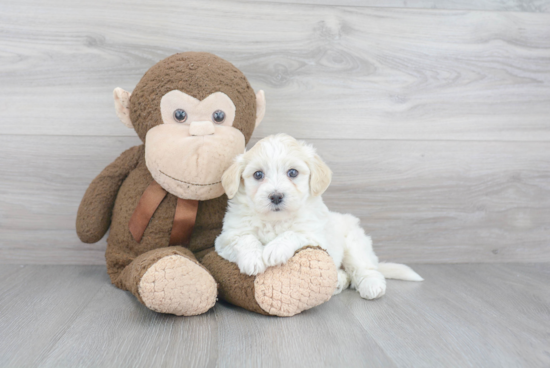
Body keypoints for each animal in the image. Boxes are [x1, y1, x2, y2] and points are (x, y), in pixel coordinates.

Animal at [215, 134, 422, 300]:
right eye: (258, 174)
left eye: (292, 172)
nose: (275, 196)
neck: (275, 221)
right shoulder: (226, 239)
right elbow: (245, 238)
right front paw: (253, 259)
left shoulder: (315, 236)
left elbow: (293, 233)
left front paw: (275, 249)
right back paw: (338, 281)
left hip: (355, 244)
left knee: (366, 268)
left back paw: (371, 286)